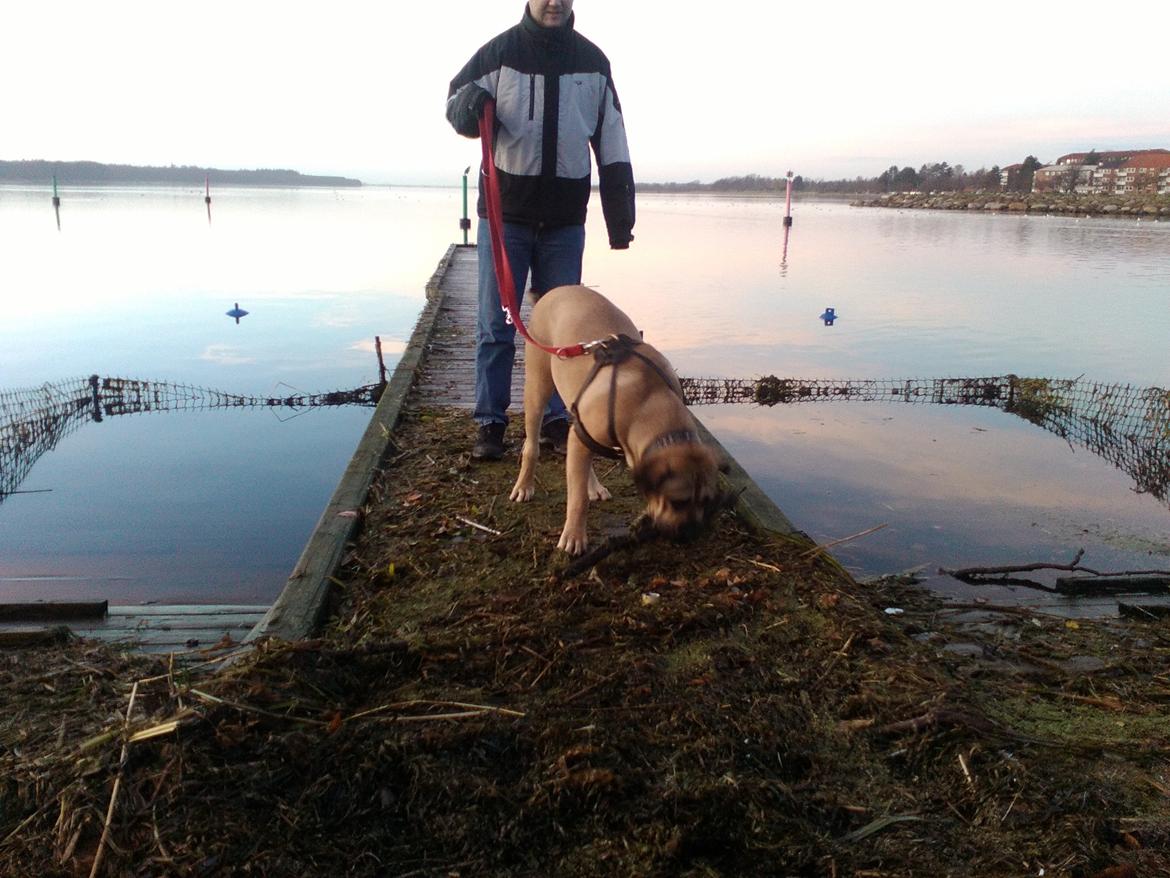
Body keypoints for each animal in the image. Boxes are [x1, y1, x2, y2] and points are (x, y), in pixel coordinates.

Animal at [510, 286, 720, 557]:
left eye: (705, 501)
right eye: (678, 501)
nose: (691, 535)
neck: (649, 398)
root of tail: (552, 292)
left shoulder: (586, 434)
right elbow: (578, 499)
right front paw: (574, 536)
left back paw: (593, 486)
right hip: (538, 386)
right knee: (532, 445)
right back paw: (525, 484)